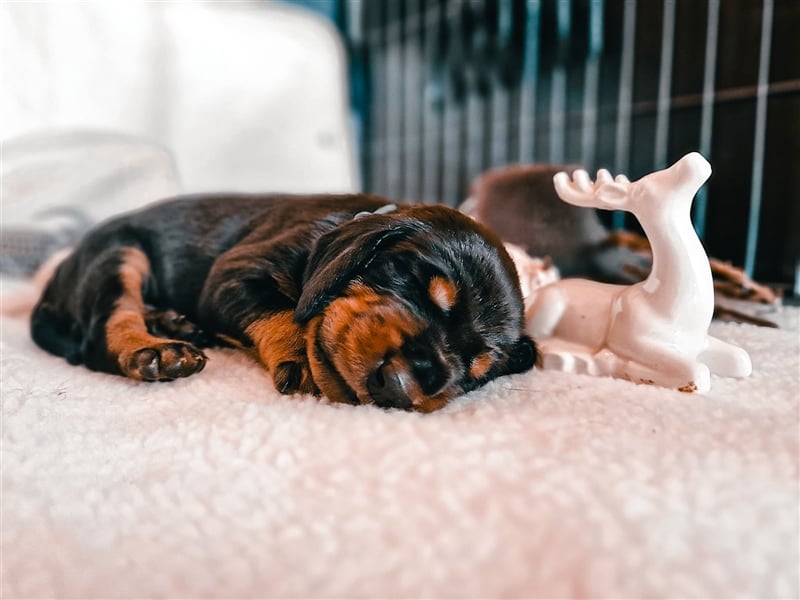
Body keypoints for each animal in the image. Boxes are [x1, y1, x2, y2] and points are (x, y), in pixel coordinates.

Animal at [31, 195, 536, 410]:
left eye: (476, 372)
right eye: (411, 280)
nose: (403, 383)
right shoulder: (233, 272)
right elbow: (279, 313)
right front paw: (299, 360)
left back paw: (175, 322)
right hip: (118, 253)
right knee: (106, 326)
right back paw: (155, 349)